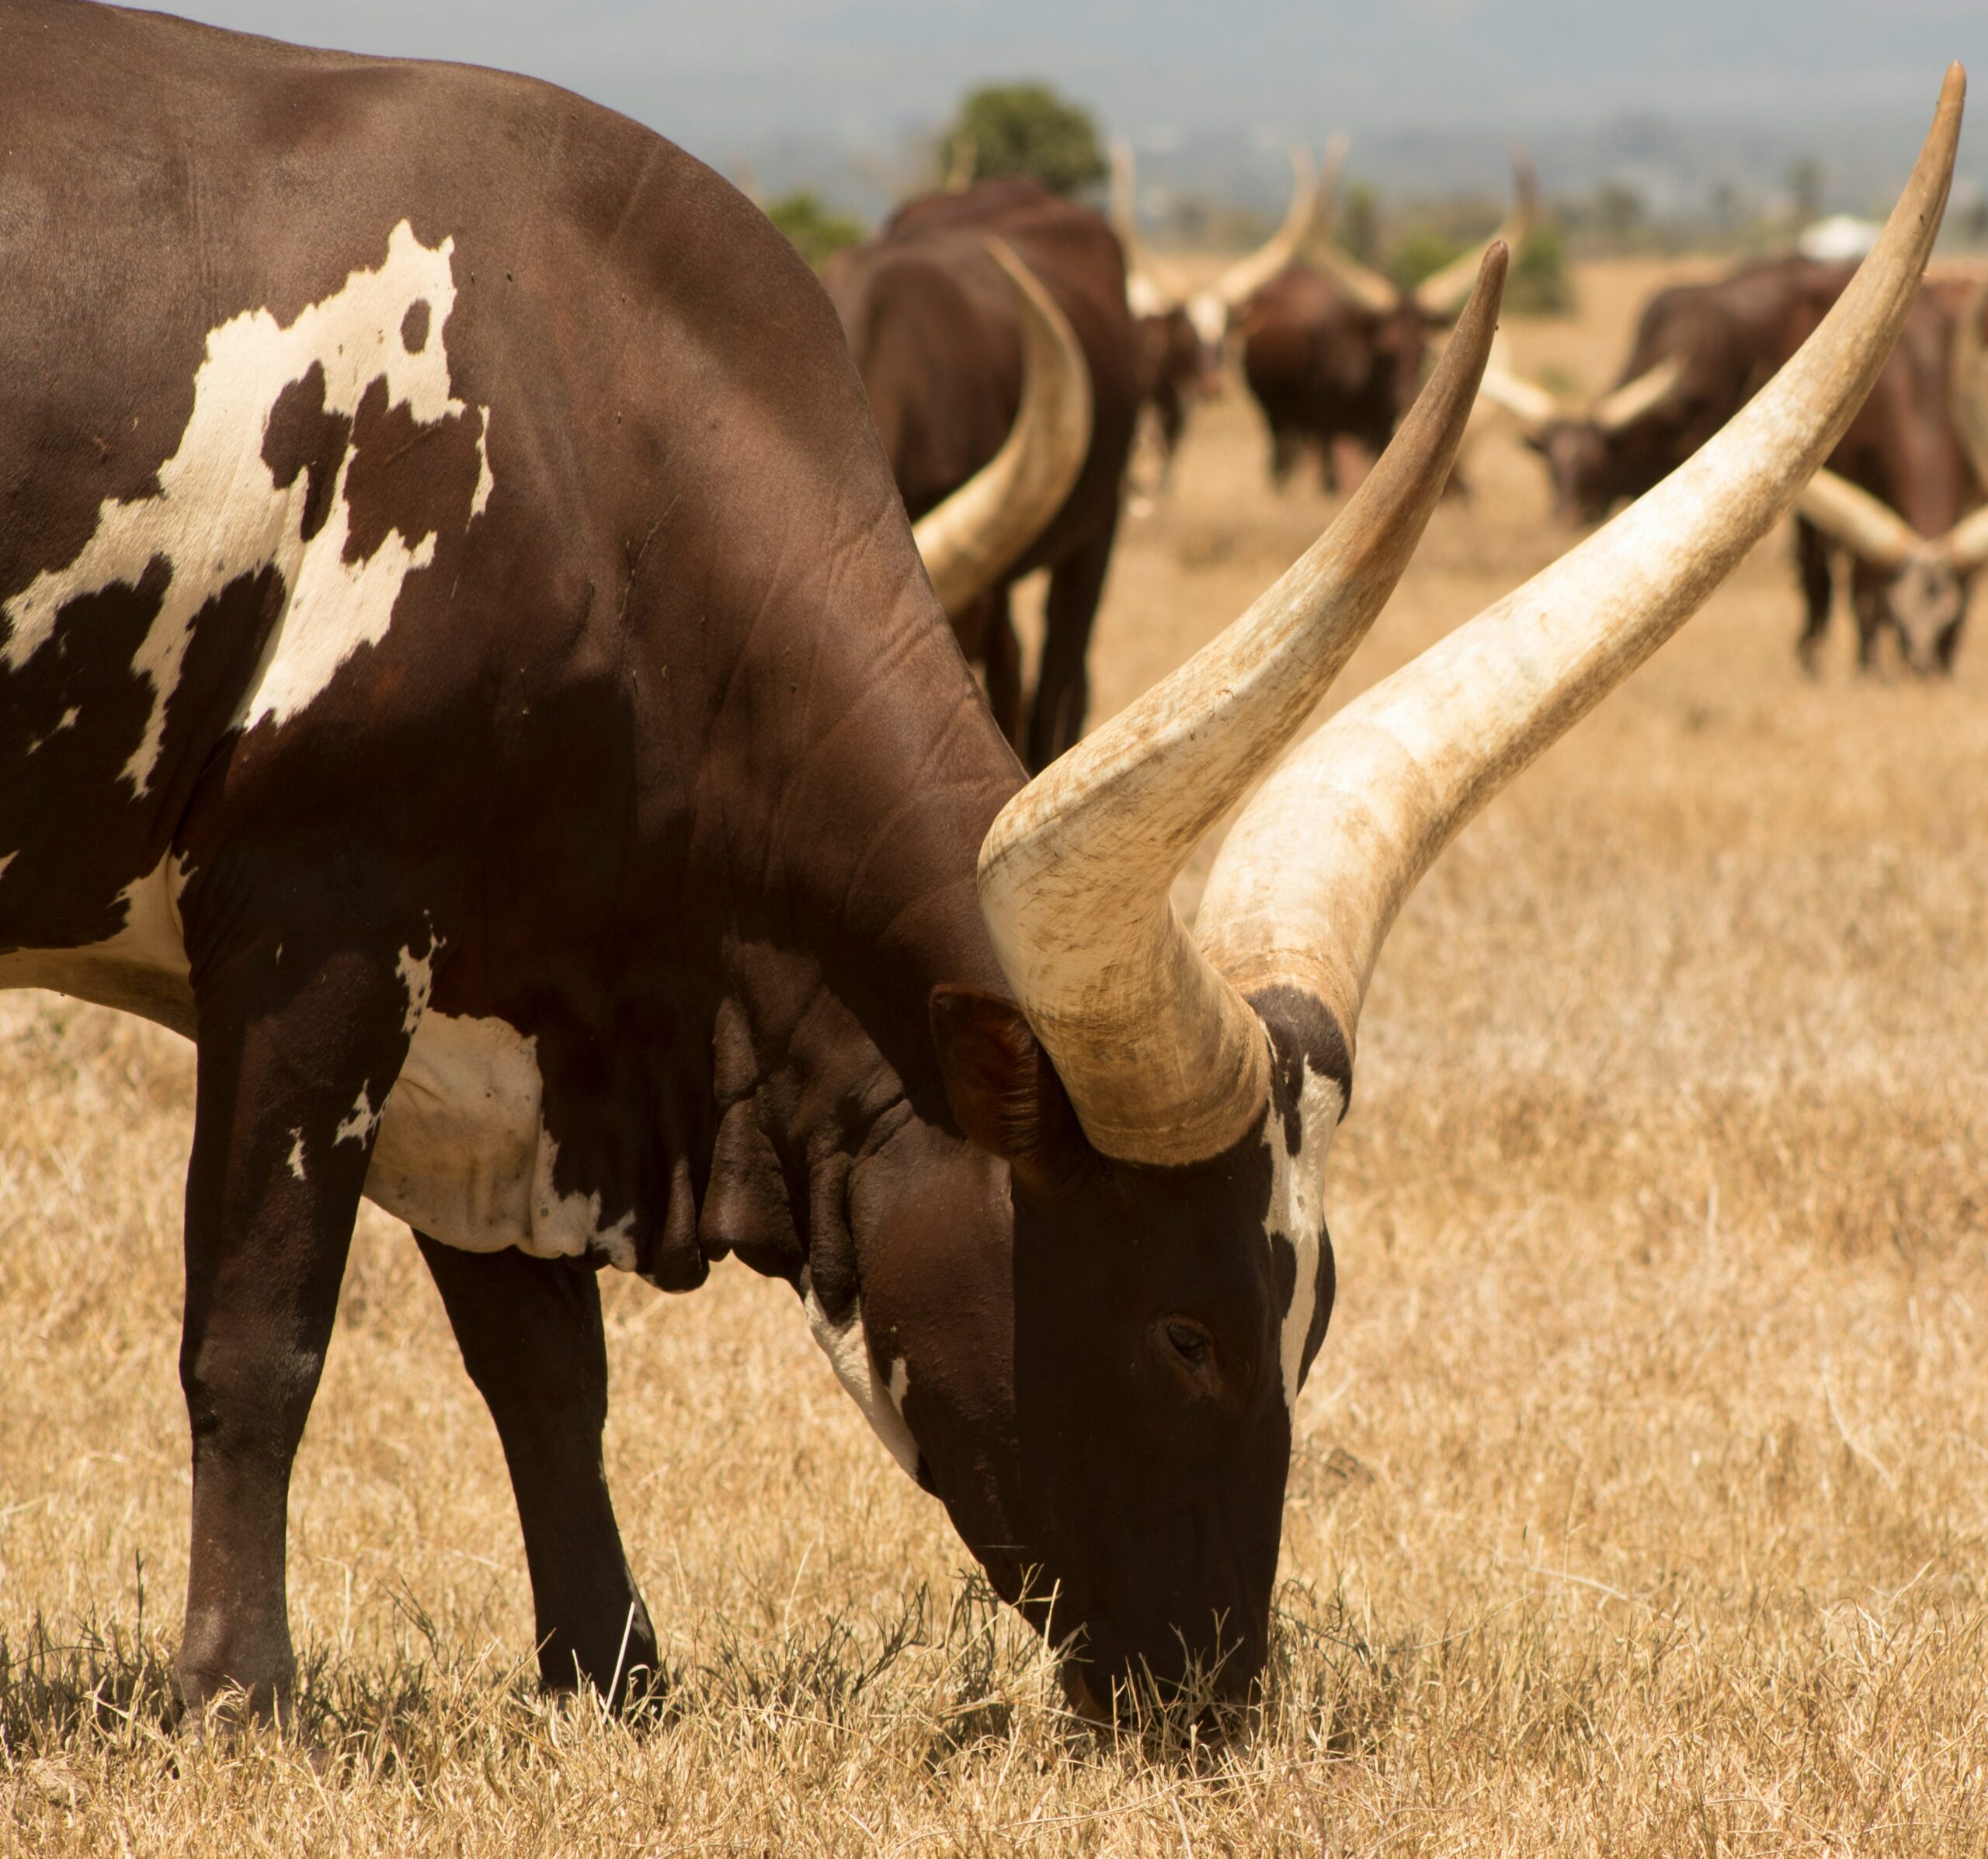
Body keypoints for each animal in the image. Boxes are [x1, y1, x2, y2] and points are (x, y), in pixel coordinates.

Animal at [1237, 148, 1536, 491]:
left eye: (1423, 349)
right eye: (1386, 349)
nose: (1405, 398)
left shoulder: (1379, 433)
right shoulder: (1325, 427)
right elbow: (1329, 479)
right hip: (1275, 414)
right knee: (1281, 460)